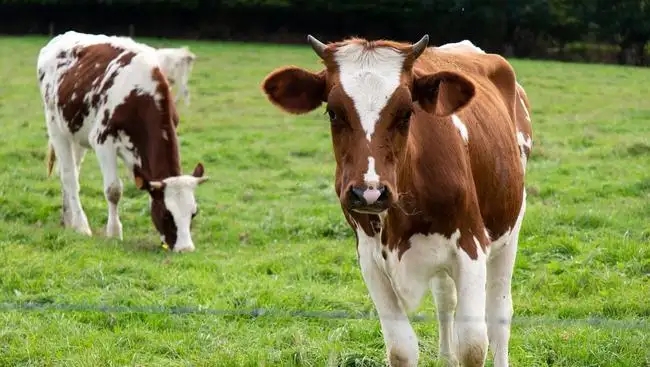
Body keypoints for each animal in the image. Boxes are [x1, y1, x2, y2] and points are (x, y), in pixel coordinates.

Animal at [37, 30, 208, 253]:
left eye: (193, 213)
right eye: (166, 213)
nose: (185, 249)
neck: (139, 94)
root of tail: (60, 38)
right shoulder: (103, 141)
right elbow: (113, 190)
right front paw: (114, 232)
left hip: (76, 132)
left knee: (71, 171)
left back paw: (69, 220)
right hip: (56, 126)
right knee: (69, 176)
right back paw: (81, 226)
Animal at [258, 35, 532, 367]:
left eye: (406, 112)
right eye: (333, 113)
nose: (369, 192)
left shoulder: (471, 245)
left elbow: (473, 345)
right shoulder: (369, 257)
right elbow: (401, 348)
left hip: (510, 228)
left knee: (499, 314)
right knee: (445, 300)